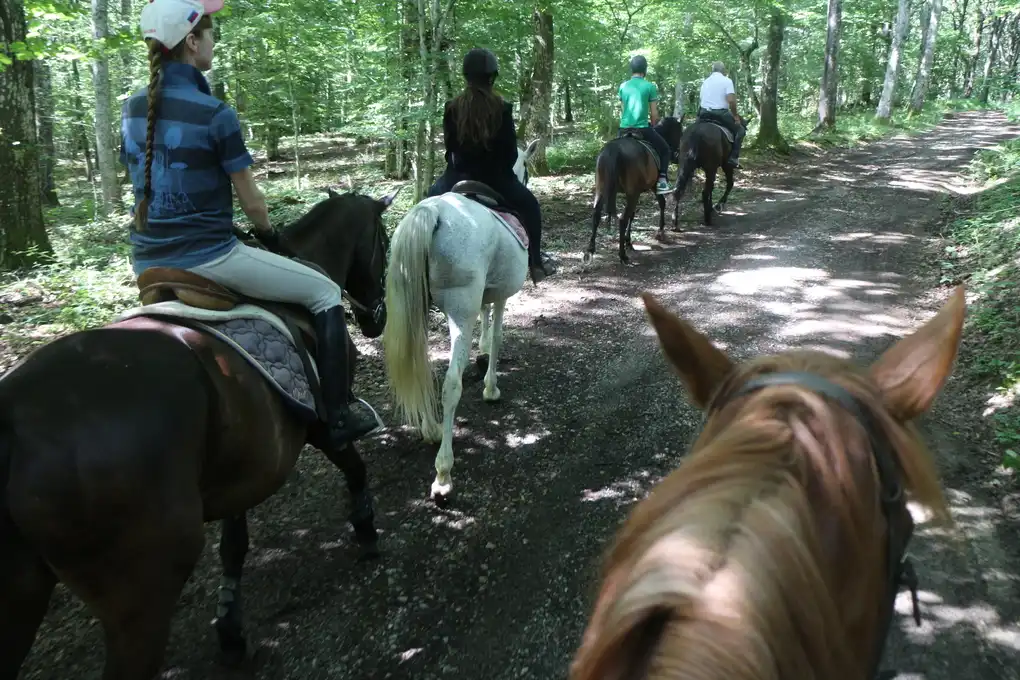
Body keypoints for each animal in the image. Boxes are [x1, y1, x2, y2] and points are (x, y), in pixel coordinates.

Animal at [0, 187, 397, 680]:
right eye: (383, 243)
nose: (377, 319)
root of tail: (16, 416)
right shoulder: (320, 426)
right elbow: (353, 462)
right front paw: (366, 527)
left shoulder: (248, 461)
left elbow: (234, 546)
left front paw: (230, 627)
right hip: (140, 592)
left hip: (19, 596)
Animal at [382, 140, 539, 504]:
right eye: (524, 166)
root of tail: (432, 213)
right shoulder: (501, 295)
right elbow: (497, 337)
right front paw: (491, 386)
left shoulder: (485, 294)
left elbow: (486, 322)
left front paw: (481, 355)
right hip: (458, 308)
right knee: (450, 384)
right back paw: (443, 475)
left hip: (417, 309)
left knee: (419, 365)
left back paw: (430, 429)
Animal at [587, 117, 685, 265]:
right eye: (680, 133)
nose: (677, 155)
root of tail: (613, 150)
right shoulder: (650, 187)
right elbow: (661, 203)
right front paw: (660, 232)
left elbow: (633, 215)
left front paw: (628, 241)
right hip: (632, 194)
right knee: (623, 218)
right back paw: (622, 255)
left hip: (602, 189)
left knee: (596, 214)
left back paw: (590, 250)